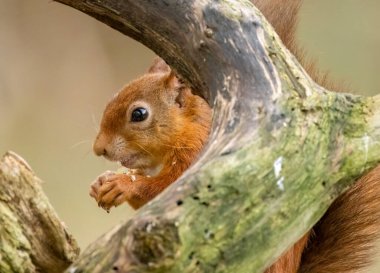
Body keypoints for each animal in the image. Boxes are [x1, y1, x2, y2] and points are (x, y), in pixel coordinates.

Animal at [90, 1, 380, 270]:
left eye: (139, 114)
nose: (98, 149)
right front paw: (101, 183)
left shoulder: (198, 155)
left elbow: (163, 193)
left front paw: (122, 184)